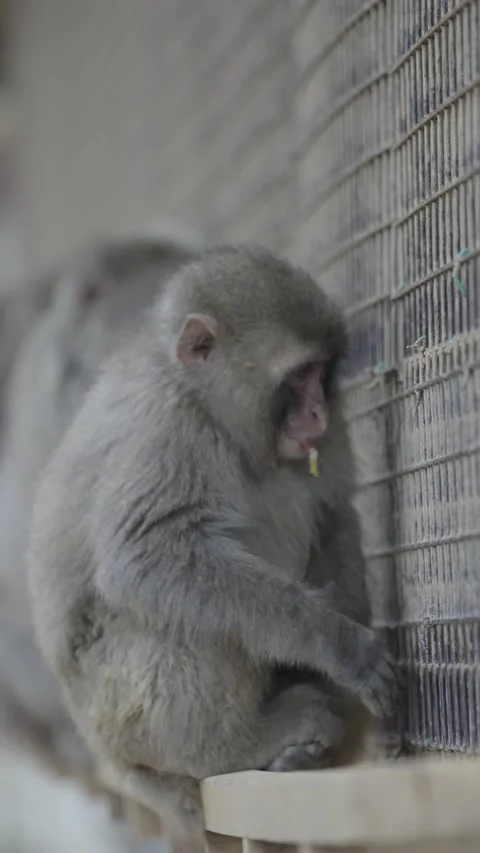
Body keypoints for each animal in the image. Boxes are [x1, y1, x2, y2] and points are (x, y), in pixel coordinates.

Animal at [28, 245, 397, 843]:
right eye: (298, 377)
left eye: (323, 374)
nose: (317, 412)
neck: (209, 408)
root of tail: (111, 758)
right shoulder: (166, 429)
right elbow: (149, 558)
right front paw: (336, 644)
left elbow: (333, 512)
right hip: (118, 713)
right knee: (191, 618)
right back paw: (236, 745)